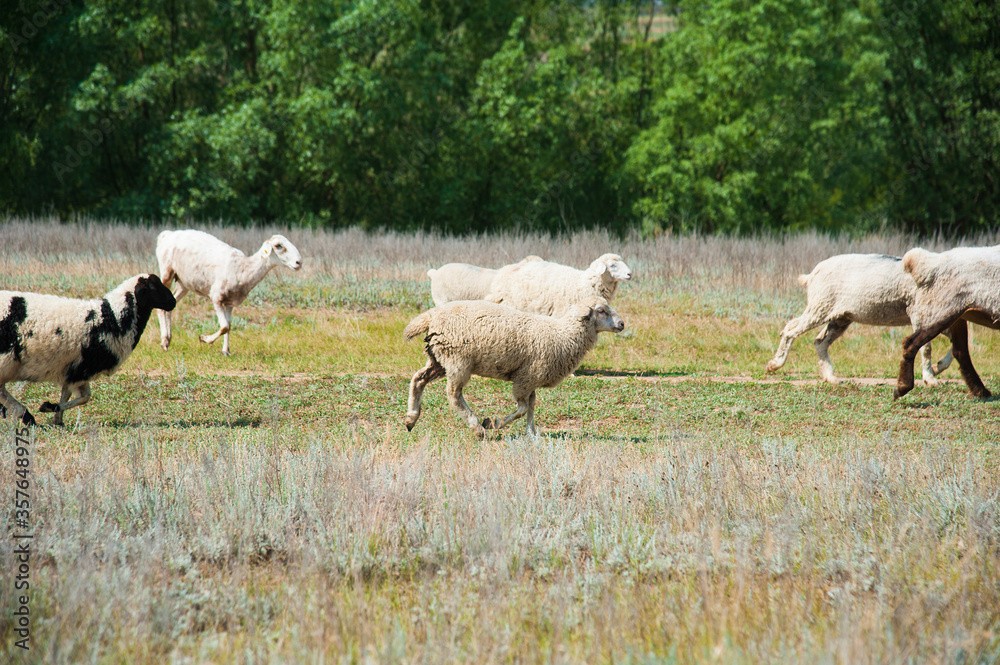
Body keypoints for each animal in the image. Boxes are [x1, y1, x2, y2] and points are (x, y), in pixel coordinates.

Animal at [0, 274, 176, 426]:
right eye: (154, 286)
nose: (173, 302)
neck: (111, 318)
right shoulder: (81, 369)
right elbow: (85, 397)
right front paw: (49, 408)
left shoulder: (72, 370)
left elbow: (69, 396)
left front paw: (57, 418)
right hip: (6, 360)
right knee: (2, 391)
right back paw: (24, 415)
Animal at [156, 230, 303, 356]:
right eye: (278, 246)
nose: (299, 262)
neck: (244, 269)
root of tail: (166, 234)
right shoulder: (216, 297)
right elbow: (224, 326)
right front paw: (204, 338)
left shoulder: (230, 302)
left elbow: (229, 326)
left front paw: (226, 351)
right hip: (167, 272)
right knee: (160, 308)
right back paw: (164, 342)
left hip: (183, 283)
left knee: (170, 305)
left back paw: (168, 341)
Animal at [403, 297, 625, 437]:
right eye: (601, 310)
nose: (622, 324)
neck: (564, 334)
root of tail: (430, 317)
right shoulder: (525, 378)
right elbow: (523, 408)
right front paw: (494, 423)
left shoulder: (533, 378)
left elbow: (532, 406)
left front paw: (531, 433)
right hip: (458, 360)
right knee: (453, 394)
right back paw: (477, 427)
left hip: (438, 358)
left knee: (418, 379)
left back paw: (411, 418)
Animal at [765, 253, 953, 384]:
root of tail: (812, 274)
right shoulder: (920, 314)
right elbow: (926, 347)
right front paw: (931, 379)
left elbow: (954, 343)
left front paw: (937, 368)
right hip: (821, 306)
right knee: (791, 332)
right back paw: (775, 364)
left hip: (838, 316)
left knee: (817, 340)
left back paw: (830, 377)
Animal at [894, 245, 1000, 400]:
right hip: (942, 309)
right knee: (912, 343)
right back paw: (902, 387)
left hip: (957, 312)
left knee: (960, 350)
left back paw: (980, 391)